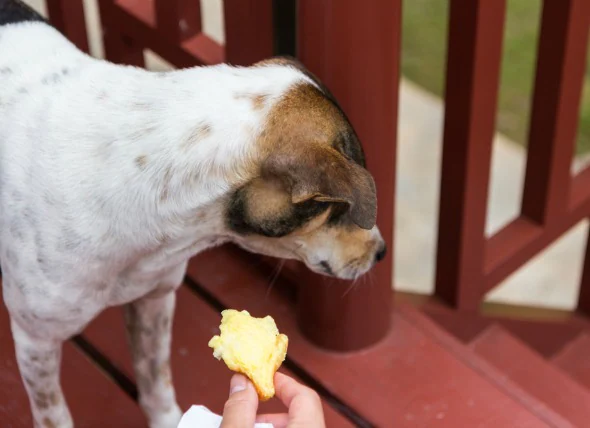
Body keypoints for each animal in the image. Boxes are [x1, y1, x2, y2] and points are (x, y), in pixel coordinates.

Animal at [0, 1, 388, 426]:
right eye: (340, 210)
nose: (382, 252)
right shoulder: (36, 341)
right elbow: (54, 414)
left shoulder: (154, 296)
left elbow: (155, 380)